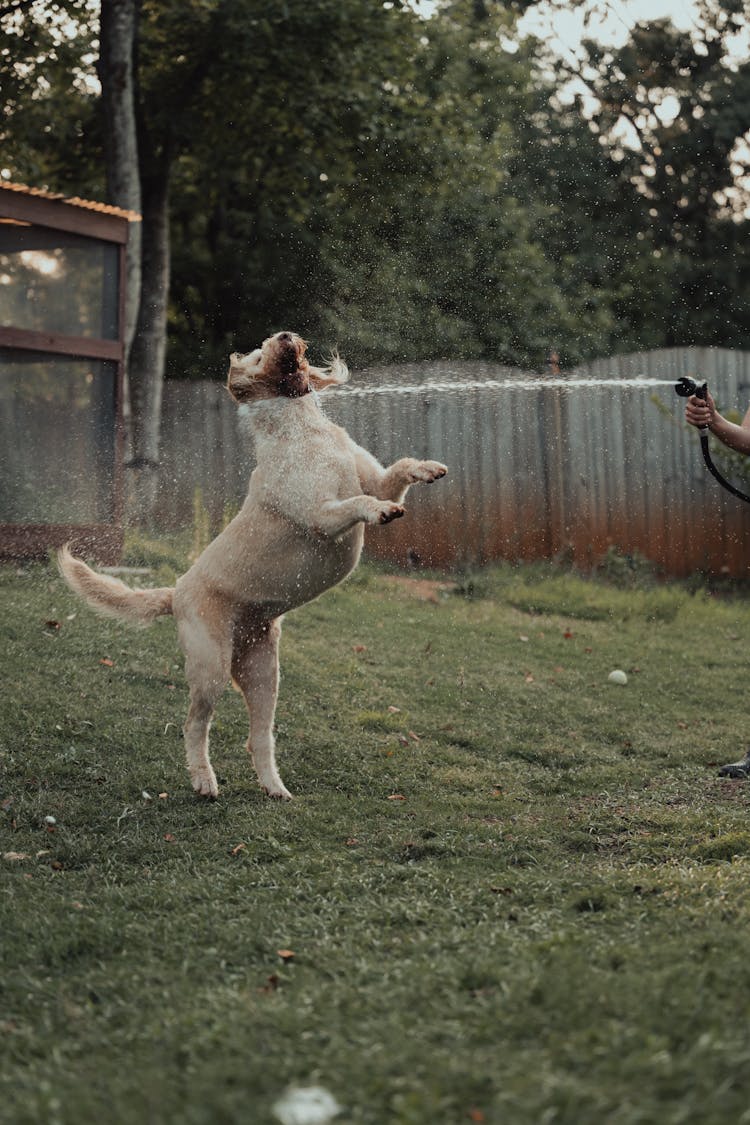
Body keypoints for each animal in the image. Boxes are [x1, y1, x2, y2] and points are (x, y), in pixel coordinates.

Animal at [58, 330, 449, 801]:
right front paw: (378, 512)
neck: (302, 430)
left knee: (258, 736)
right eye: (259, 355)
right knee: (194, 725)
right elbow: (358, 501)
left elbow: (398, 471)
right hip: (211, 668)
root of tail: (176, 591)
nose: (286, 335)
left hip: (264, 675)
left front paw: (427, 468)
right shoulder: (321, 516)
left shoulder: (376, 479)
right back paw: (204, 779)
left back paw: (274, 787)